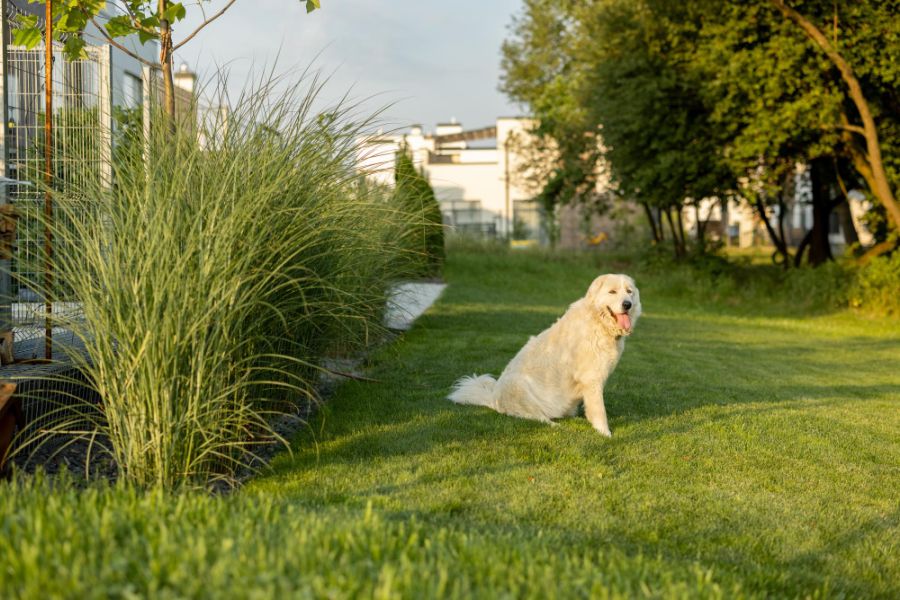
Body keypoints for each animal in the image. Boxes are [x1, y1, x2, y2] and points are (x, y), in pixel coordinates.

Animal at [448, 276, 640, 436]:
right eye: (612, 292)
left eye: (629, 291)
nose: (627, 304)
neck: (598, 322)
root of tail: (493, 399)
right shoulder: (591, 380)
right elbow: (599, 411)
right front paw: (605, 434)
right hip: (518, 385)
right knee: (536, 417)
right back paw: (557, 426)